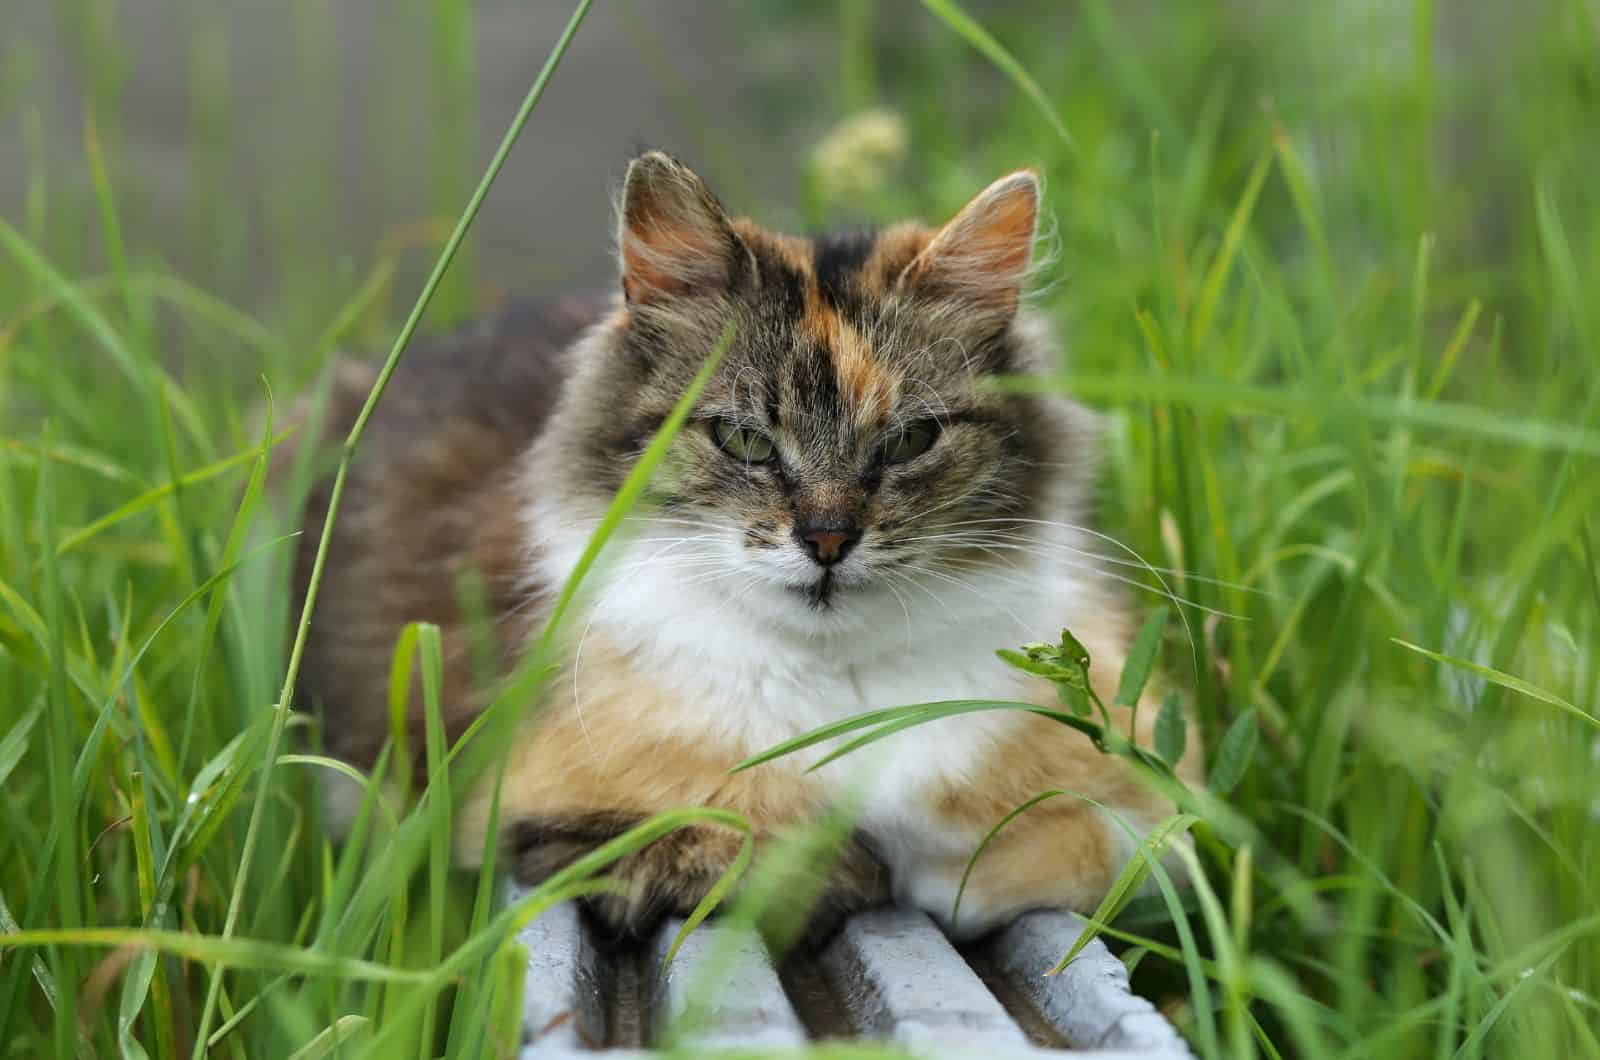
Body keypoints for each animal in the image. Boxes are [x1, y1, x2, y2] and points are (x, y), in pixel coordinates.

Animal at [297, 149, 1203, 947]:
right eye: (744, 441)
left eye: (910, 441)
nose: (828, 539)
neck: (837, 684)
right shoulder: (546, 822)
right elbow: (786, 856)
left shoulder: (1158, 799)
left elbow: (1082, 845)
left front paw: (951, 869)